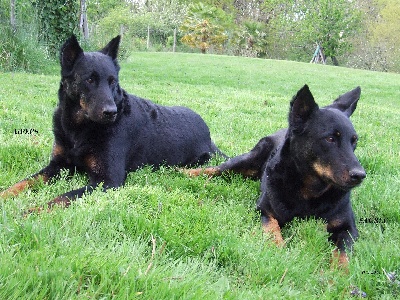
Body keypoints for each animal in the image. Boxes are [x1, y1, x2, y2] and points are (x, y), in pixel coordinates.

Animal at [0, 34, 222, 209]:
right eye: (89, 80)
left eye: (112, 81)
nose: (111, 113)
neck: (79, 130)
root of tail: (209, 135)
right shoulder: (57, 166)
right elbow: (23, 182)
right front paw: (5, 195)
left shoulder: (107, 180)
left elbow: (62, 197)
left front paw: (31, 211)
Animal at [188, 85, 366, 266]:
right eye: (330, 138)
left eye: (354, 141)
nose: (360, 175)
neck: (310, 191)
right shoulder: (264, 210)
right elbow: (272, 228)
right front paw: (277, 249)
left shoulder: (348, 228)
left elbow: (343, 254)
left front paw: (338, 271)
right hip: (246, 161)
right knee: (214, 169)